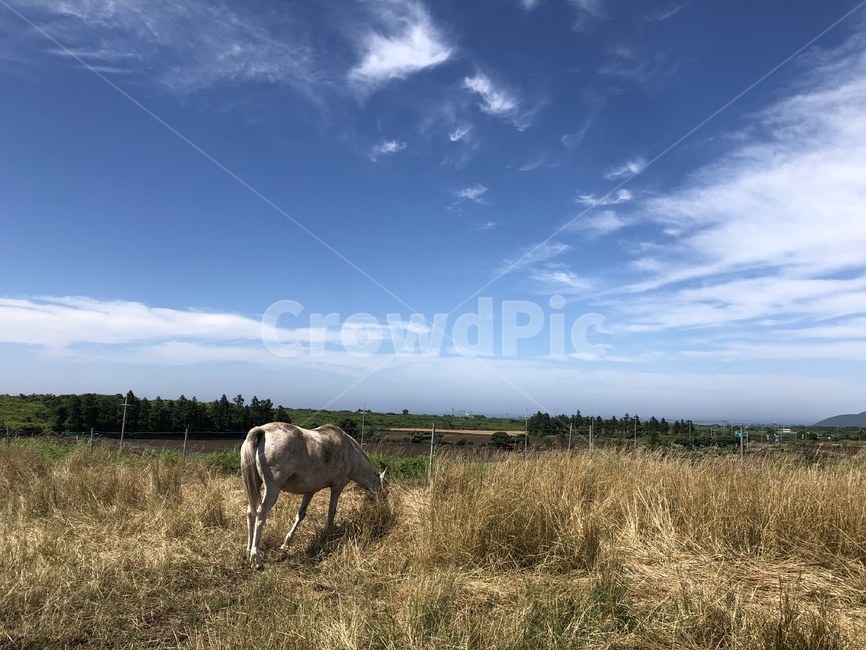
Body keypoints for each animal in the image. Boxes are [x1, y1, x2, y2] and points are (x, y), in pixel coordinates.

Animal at [241, 422, 388, 570]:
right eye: (385, 492)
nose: (382, 510)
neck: (349, 451)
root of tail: (262, 430)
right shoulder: (338, 486)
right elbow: (331, 511)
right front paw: (328, 535)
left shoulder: (310, 490)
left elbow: (301, 514)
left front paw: (286, 544)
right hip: (272, 489)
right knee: (261, 514)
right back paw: (256, 559)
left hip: (256, 484)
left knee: (251, 512)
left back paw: (248, 550)